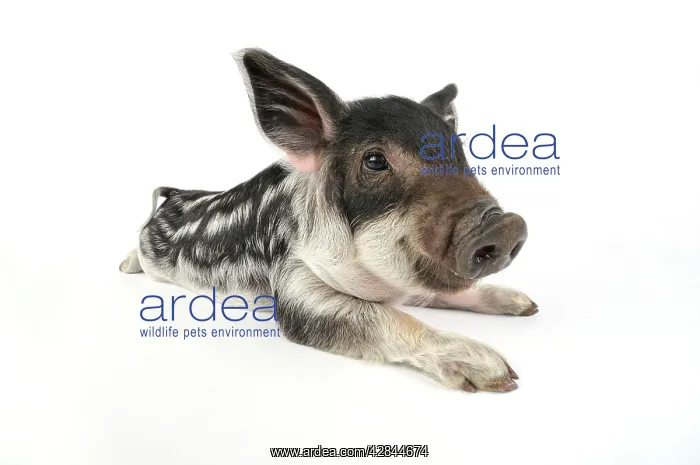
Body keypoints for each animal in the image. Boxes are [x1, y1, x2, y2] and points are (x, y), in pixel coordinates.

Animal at [119, 48, 537, 393]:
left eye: (460, 151)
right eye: (374, 160)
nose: (504, 225)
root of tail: (176, 196)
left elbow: (439, 291)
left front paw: (525, 305)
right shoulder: (295, 286)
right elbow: (386, 318)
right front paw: (499, 374)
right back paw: (124, 267)